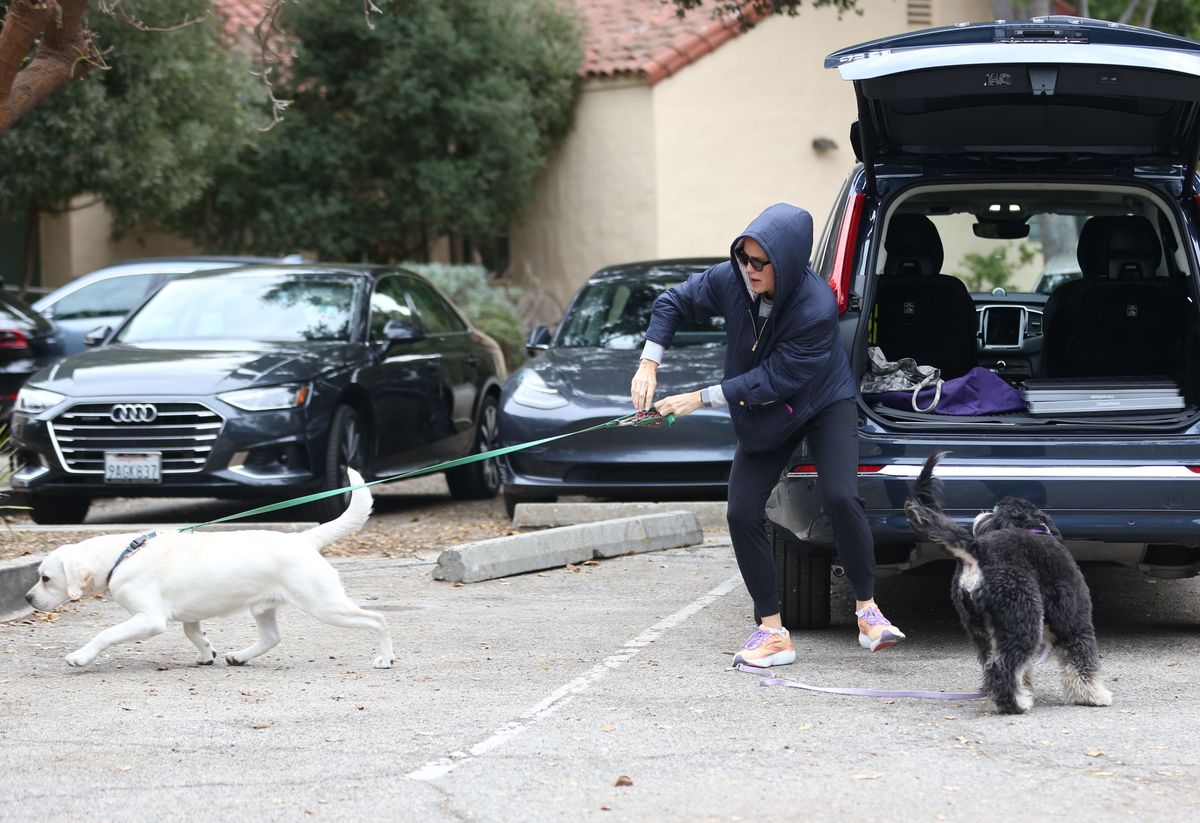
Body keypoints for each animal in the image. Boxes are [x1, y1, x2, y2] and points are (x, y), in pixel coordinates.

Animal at [25, 470, 393, 671]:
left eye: (45, 578)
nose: (28, 598)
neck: (122, 556)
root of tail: (302, 539)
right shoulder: (190, 613)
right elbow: (193, 633)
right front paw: (207, 653)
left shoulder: (149, 619)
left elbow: (105, 634)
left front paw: (80, 657)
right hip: (264, 608)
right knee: (271, 637)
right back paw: (240, 657)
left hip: (325, 604)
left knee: (378, 619)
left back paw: (385, 658)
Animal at [902, 451, 1108, 715]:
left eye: (994, 513)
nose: (980, 518)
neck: (1036, 530)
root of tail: (977, 549)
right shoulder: (1073, 622)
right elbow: (1080, 659)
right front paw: (1093, 695)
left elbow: (1027, 669)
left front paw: (1027, 687)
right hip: (1023, 618)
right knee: (1004, 666)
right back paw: (1014, 703)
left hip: (982, 629)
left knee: (992, 664)